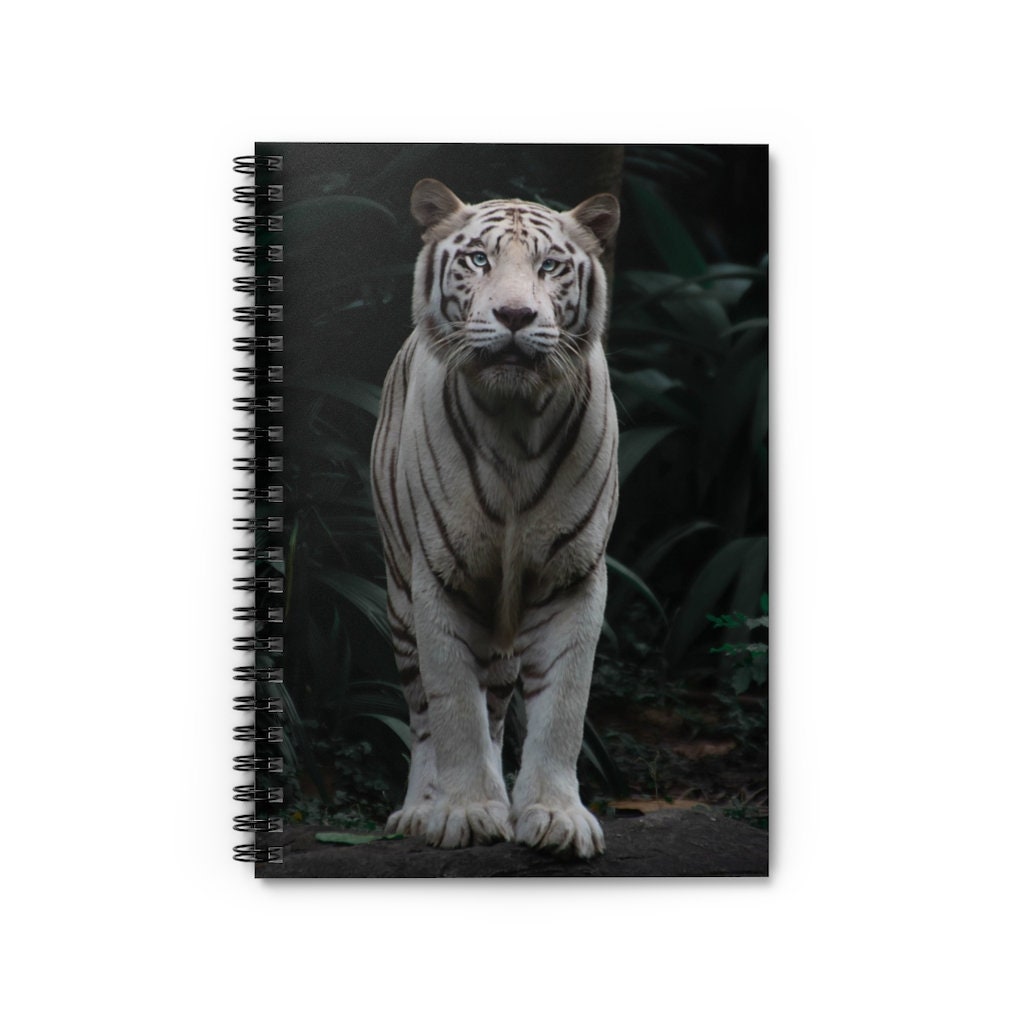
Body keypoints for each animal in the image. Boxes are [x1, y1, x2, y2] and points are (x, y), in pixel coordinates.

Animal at [370, 178, 620, 859]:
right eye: (479, 259)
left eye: (550, 265)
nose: (514, 316)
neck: (515, 422)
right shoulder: (439, 577)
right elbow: (454, 707)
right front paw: (466, 811)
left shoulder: (572, 577)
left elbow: (563, 707)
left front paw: (555, 815)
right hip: (398, 600)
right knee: (423, 714)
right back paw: (420, 810)